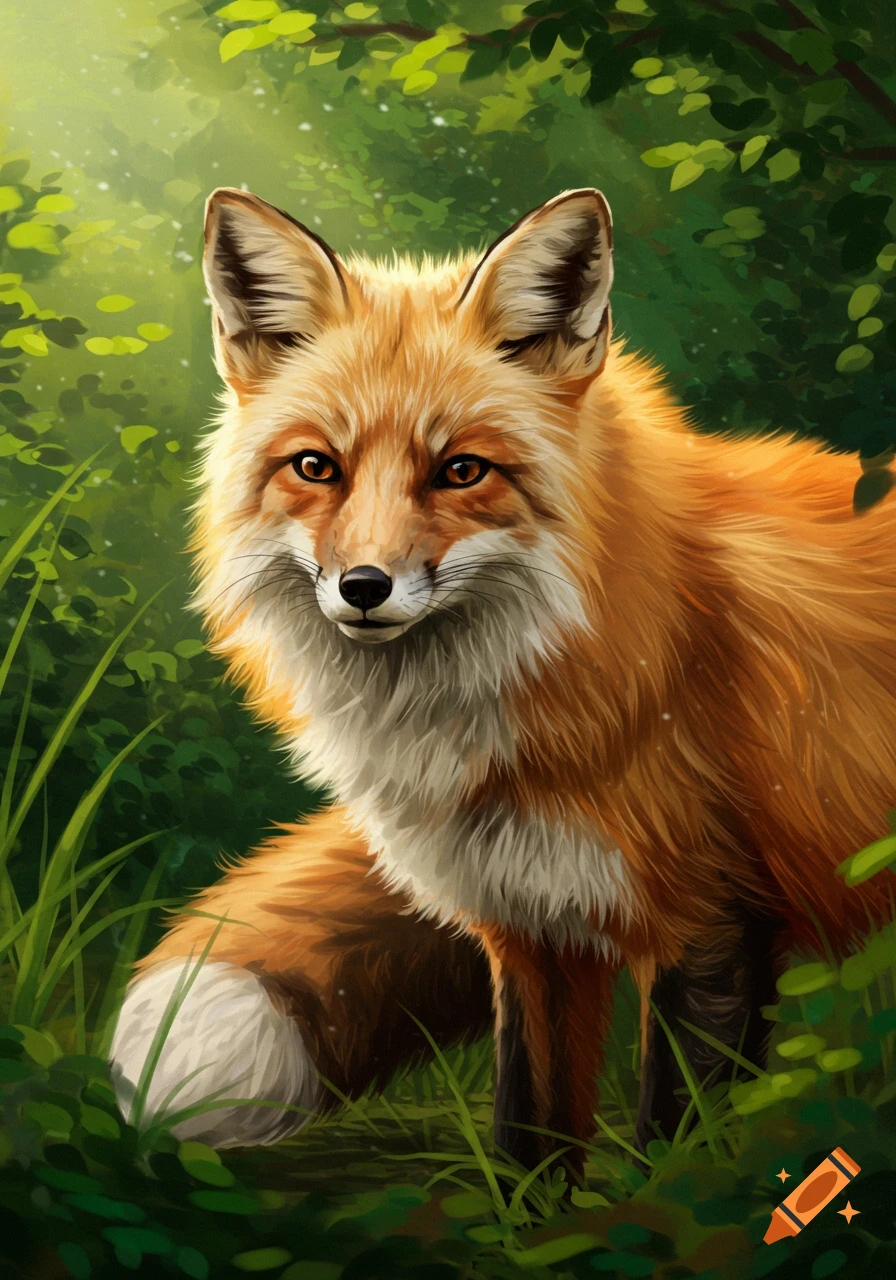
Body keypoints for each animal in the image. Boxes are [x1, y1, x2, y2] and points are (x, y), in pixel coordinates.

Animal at [110, 186, 896, 1175]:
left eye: (462, 470)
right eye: (316, 467)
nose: (362, 588)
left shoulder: (715, 922)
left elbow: (673, 1148)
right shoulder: (534, 926)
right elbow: (530, 1138)